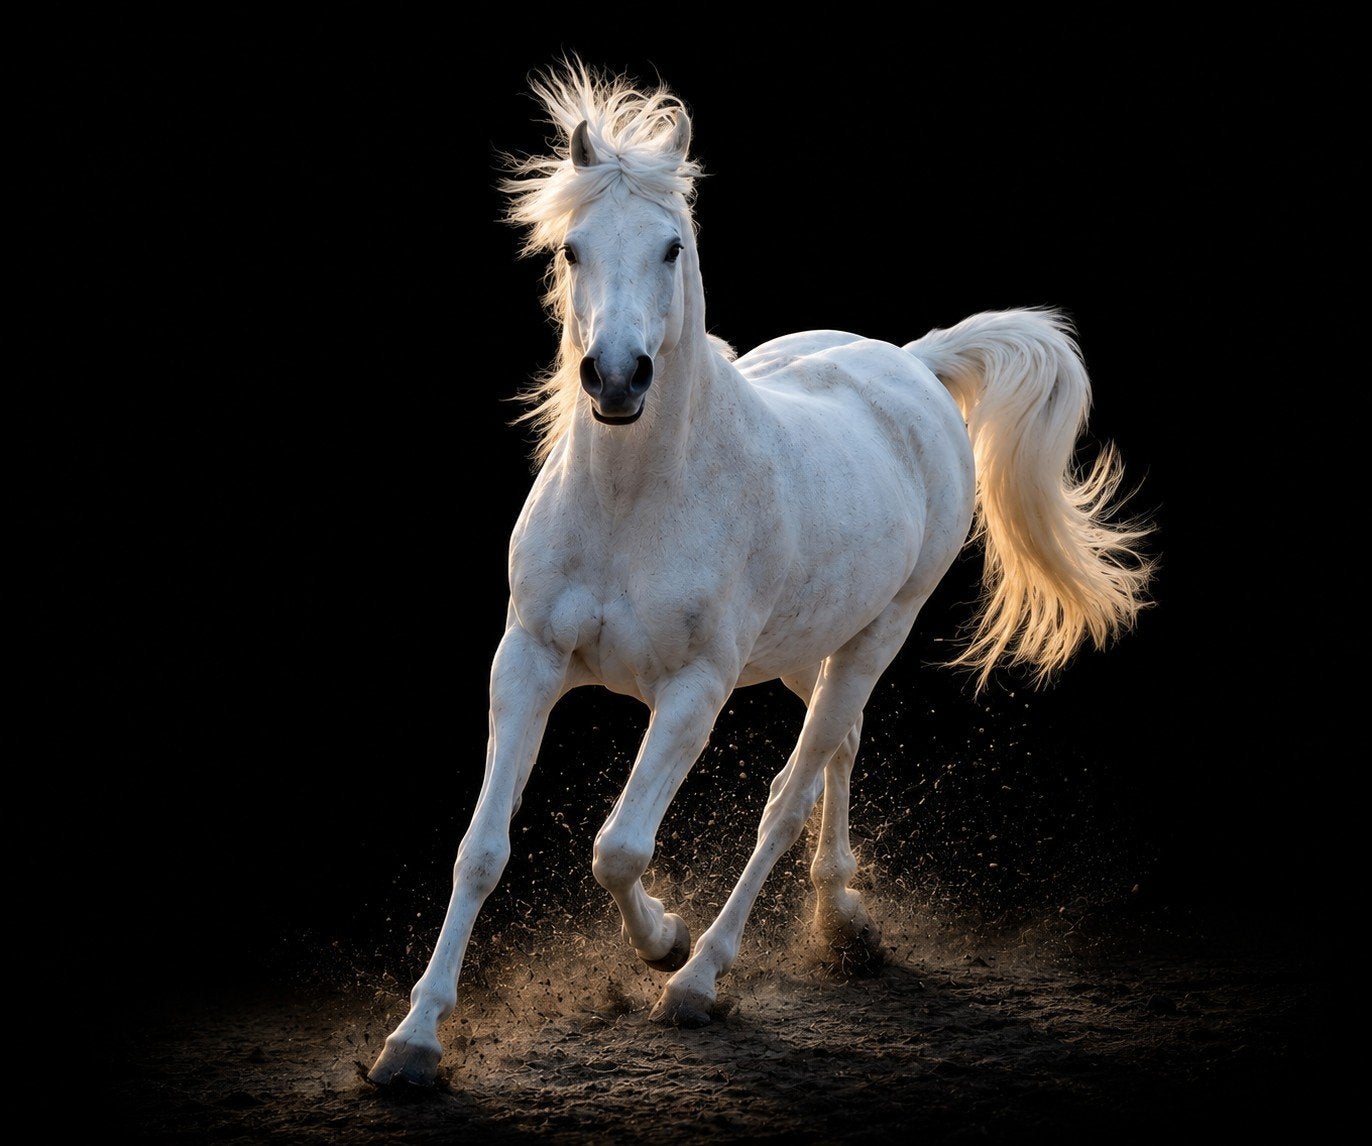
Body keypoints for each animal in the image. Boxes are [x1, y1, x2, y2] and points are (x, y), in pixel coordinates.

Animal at [368, 58, 1154, 1088]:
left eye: (671, 247)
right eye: (573, 249)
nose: (615, 378)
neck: (632, 505)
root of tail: (913, 364)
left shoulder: (694, 692)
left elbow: (619, 848)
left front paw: (663, 941)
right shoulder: (526, 661)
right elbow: (481, 851)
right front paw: (413, 1042)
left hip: (875, 636)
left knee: (790, 794)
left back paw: (702, 978)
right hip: (800, 652)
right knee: (837, 753)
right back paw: (844, 919)